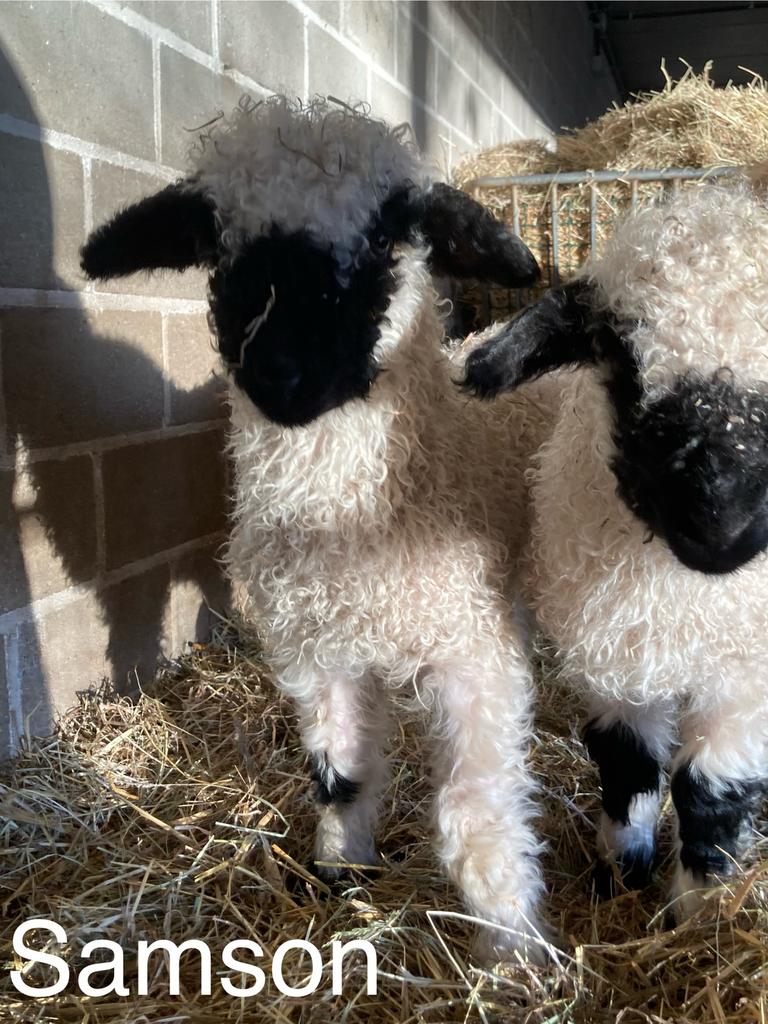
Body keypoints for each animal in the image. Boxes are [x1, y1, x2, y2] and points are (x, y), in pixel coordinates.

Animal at [79, 96, 553, 962]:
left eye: (383, 236)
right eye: (218, 242)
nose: (279, 371)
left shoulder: (472, 648)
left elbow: (475, 816)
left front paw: (515, 951)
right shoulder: (317, 648)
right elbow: (339, 777)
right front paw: (342, 871)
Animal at [463, 183, 768, 919]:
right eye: (621, 358)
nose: (723, 532)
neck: (683, 594)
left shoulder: (749, 669)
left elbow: (711, 791)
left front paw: (699, 914)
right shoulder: (618, 656)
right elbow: (627, 762)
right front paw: (625, 874)